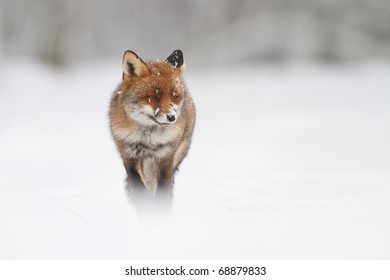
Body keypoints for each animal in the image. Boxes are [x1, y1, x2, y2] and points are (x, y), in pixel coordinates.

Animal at [109, 49, 195, 195]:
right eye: (153, 97)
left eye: (174, 97)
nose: (171, 117)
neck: (148, 139)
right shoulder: (129, 156)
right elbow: (138, 189)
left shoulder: (166, 156)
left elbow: (162, 191)